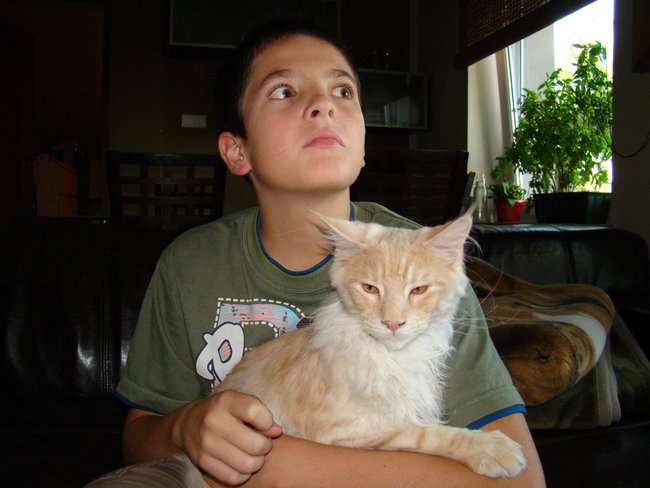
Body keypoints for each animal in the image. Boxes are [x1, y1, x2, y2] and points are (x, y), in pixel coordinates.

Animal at [215, 213, 526, 478]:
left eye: (418, 290)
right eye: (370, 289)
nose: (392, 323)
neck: (393, 356)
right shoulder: (350, 430)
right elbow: (428, 434)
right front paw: (490, 449)